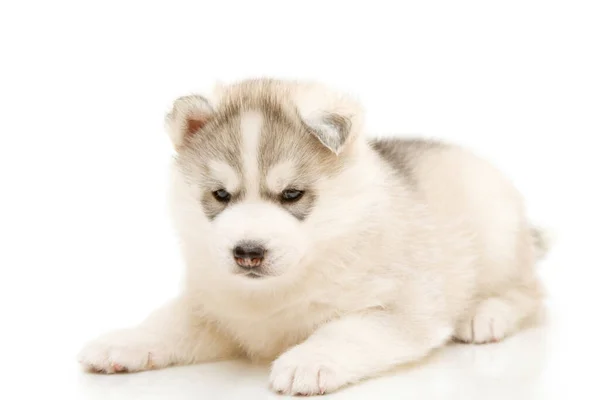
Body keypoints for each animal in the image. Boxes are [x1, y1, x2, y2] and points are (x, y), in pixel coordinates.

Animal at [79, 79, 548, 396]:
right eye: (220, 195)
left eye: (292, 194)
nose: (247, 253)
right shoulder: (214, 307)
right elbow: (166, 322)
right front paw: (124, 341)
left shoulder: (402, 305)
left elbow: (348, 330)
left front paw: (309, 360)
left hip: (497, 235)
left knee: (528, 292)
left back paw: (485, 315)